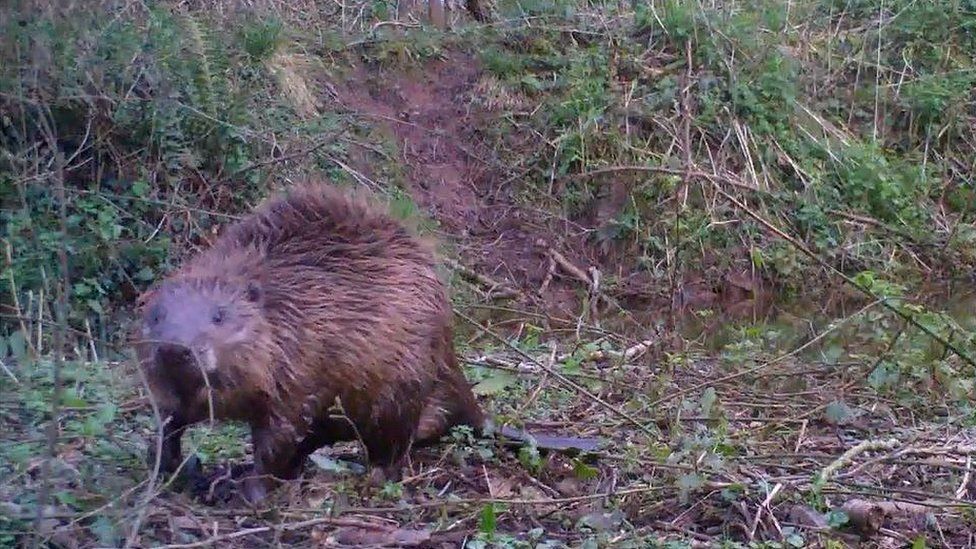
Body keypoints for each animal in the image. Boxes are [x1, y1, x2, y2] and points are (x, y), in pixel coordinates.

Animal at [133, 182, 600, 504]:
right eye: (156, 316)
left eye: (219, 316)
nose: (176, 350)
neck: (285, 302)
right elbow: (171, 417)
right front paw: (169, 465)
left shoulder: (301, 362)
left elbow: (278, 432)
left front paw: (250, 491)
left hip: (397, 385)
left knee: (398, 439)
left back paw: (369, 471)